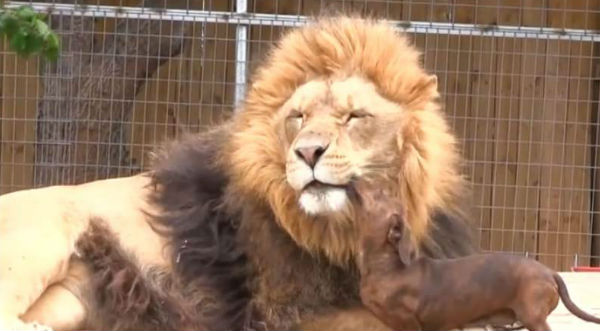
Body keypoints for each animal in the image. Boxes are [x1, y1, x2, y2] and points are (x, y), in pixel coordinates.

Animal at [0, 15, 478, 331]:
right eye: (298, 117)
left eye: (354, 116)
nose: (308, 152)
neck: (342, 234)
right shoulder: (284, 312)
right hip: (42, 236)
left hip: (69, 299)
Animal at [352, 183, 600, 331]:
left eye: (380, 193)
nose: (355, 178)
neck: (387, 267)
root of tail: (549, 272)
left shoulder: (408, 321)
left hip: (534, 318)